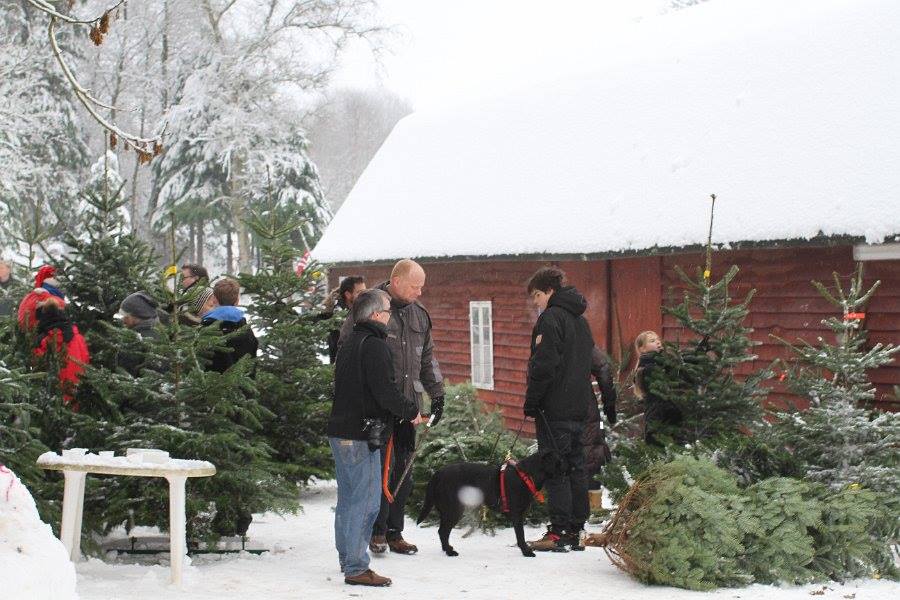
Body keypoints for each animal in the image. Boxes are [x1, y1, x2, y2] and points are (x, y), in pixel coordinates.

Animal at [416, 450, 568, 556]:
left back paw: (447, 549)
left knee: (442, 531)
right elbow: (521, 535)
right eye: (559, 462)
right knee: (443, 531)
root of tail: (438, 473)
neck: (527, 476)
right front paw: (526, 552)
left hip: (445, 510)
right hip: (454, 509)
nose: (570, 469)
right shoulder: (517, 515)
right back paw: (449, 552)